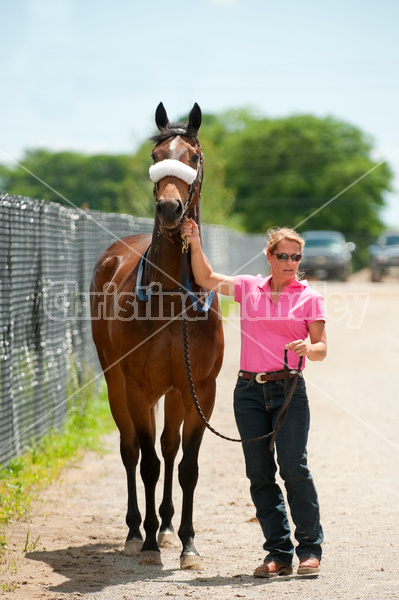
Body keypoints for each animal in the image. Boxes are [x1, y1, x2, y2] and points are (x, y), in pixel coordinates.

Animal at [90, 102, 225, 568]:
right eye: (155, 156)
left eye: (194, 157)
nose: (169, 208)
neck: (171, 297)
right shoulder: (138, 388)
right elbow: (146, 461)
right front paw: (147, 543)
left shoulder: (200, 388)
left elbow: (186, 466)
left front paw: (187, 543)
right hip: (118, 384)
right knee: (132, 450)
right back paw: (137, 531)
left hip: (177, 393)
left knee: (168, 448)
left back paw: (165, 527)